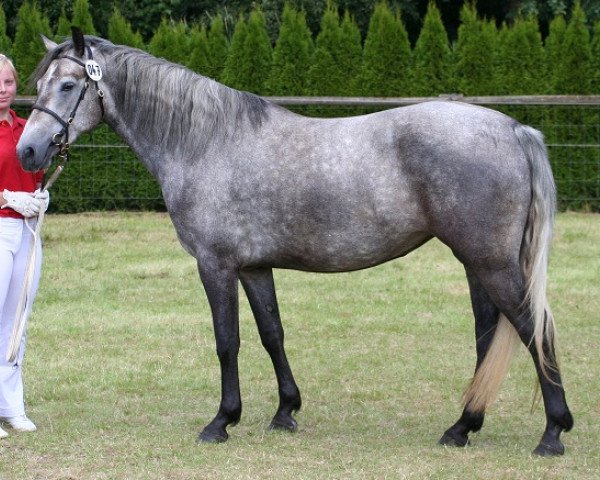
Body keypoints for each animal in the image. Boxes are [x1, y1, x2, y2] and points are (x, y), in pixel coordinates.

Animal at [17, 31, 572, 456]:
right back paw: (462, 428)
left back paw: (552, 433)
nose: (28, 151)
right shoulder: (254, 267)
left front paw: (221, 421)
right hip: (478, 263)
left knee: (535, 329)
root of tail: (514, 128)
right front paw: (285, 411)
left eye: (68, 84)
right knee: (488, 336)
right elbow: (272, 334)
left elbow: (227, 341)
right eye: (39, 84)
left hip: (490, 262)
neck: (205, 142)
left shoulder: (215, 266)